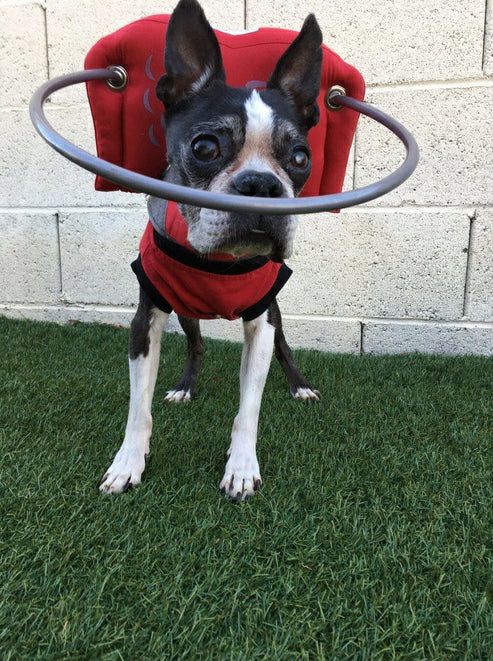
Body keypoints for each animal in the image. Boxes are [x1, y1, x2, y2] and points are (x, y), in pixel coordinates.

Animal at [99, 0, 323, 500]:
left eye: (300, 158)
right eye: (205, 147)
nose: (261, 185)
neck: (219, 260)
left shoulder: (261, 322)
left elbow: (248, 409)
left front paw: (241, 467)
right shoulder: (146, 318)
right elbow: (137, 408)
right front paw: (127, 463)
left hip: (275, 313)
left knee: (285, 347)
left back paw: (300, 387)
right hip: (183, 308)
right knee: (196, 344)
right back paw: (185, 386)